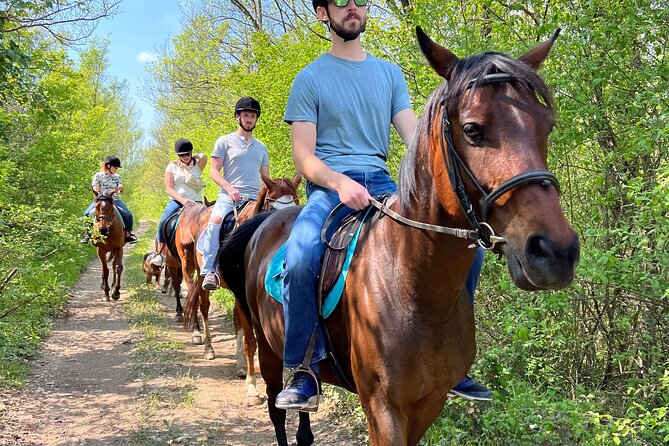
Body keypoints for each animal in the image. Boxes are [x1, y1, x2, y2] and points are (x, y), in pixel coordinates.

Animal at [175, 173, 300, 404]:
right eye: (271, 207)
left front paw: (245, 368)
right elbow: (251, 340)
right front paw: (252, 389)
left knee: (235, 320)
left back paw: (240, 363)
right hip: (201, 275)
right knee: (204, 308)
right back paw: (208, 348)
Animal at [216, 27, 580, 446]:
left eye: (546, 125)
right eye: (472, 129)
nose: (555, 252)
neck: (412, 283)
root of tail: (265, 222)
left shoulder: (429, 402)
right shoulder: (383, 406)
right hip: (270, 350)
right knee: (277, 409)